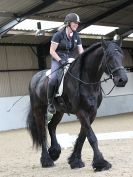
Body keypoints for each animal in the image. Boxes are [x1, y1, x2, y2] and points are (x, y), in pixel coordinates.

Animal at [26, 39, 128, 171]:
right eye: (109, 57)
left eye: (122, 56)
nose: (122, 80)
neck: (87, 81)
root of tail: (35, 78)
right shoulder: (81, 112)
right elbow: (91, 137)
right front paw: (101, 163)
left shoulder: (92, 112)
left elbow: (82, 136)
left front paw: (75, 161)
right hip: (39, 110)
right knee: (42, 132)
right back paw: (47, 161)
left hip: (59, 111)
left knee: (51, 126)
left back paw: (54, 152)